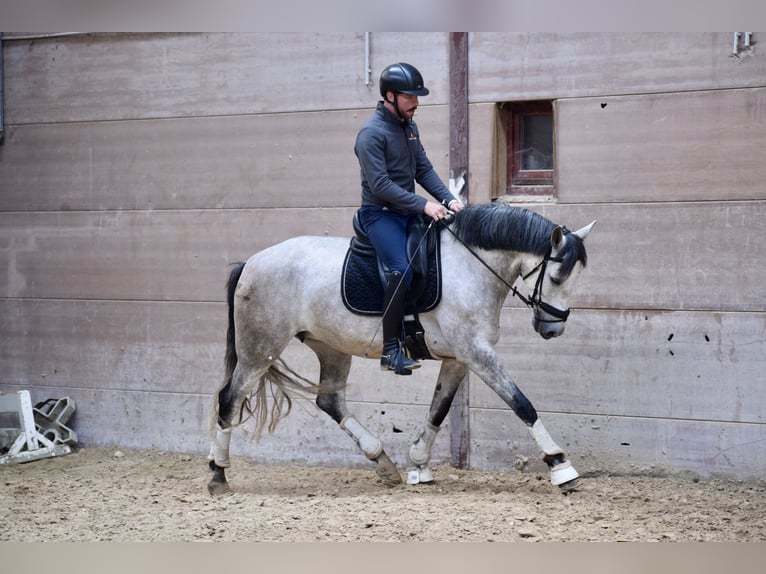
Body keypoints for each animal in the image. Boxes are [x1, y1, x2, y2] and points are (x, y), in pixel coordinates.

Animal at [210, 202, 600, 496]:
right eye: (555, 278)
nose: (553, 328)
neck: (470, 266)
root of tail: (251, 263)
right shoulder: (476, 353)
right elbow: (521, 403)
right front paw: (561, 465)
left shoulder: (458, 358)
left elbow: (438, 410)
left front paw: (417, 464)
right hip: (261, 348)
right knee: (229, 399)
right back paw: (218, 475)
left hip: (330, 346)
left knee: (330, 400)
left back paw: (382, 461)